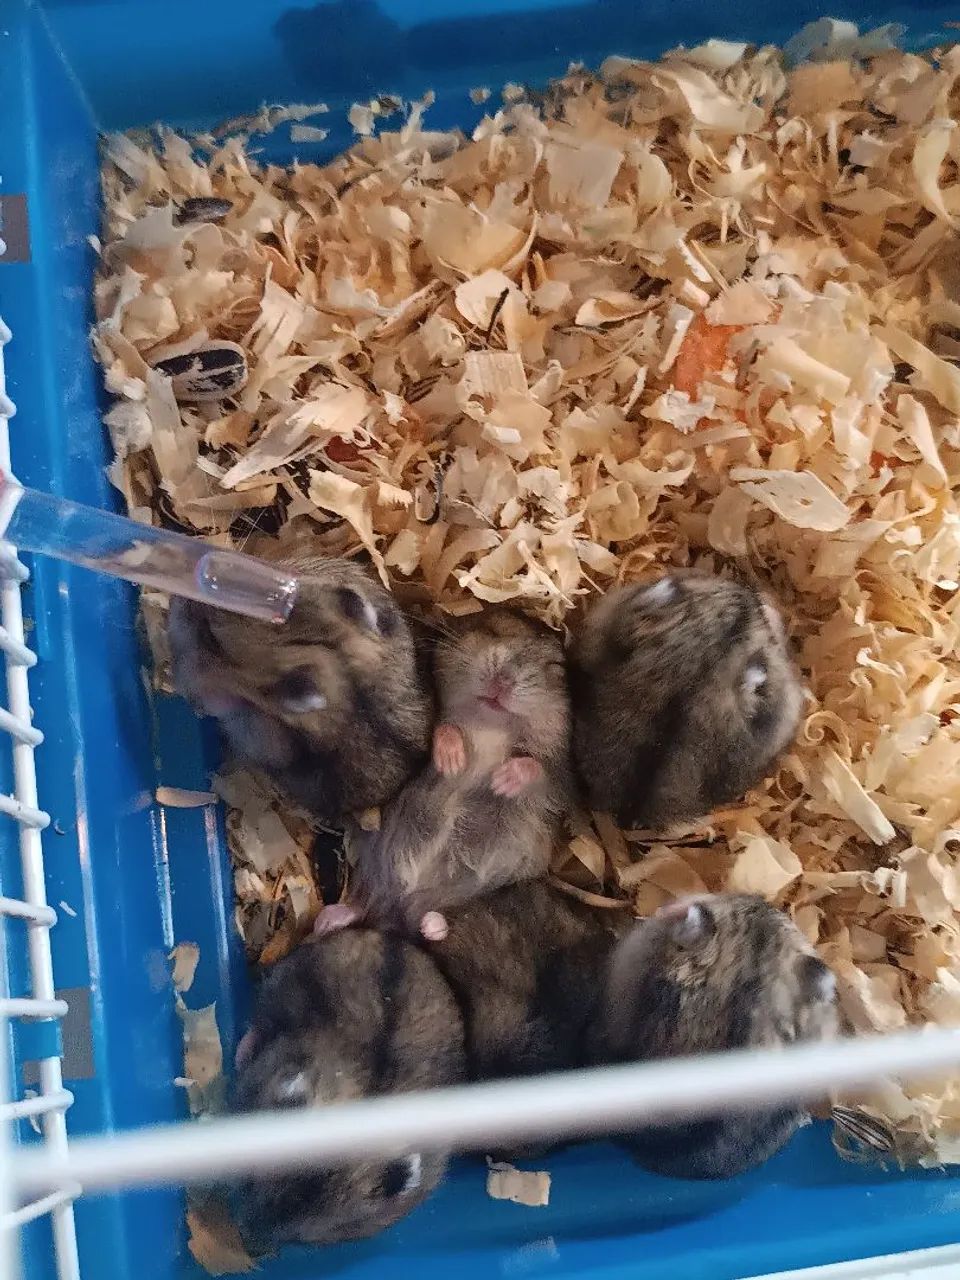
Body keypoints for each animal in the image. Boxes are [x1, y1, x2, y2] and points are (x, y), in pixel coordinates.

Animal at [351, 609, 572, 937]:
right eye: (491, 629)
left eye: (555, 666)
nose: (502, 680)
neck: (490, 725)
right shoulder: (434, 725)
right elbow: (444, 729)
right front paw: (453, 762)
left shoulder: (559, 779)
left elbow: (535, 768)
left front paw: (502, 781)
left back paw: (433, 925)